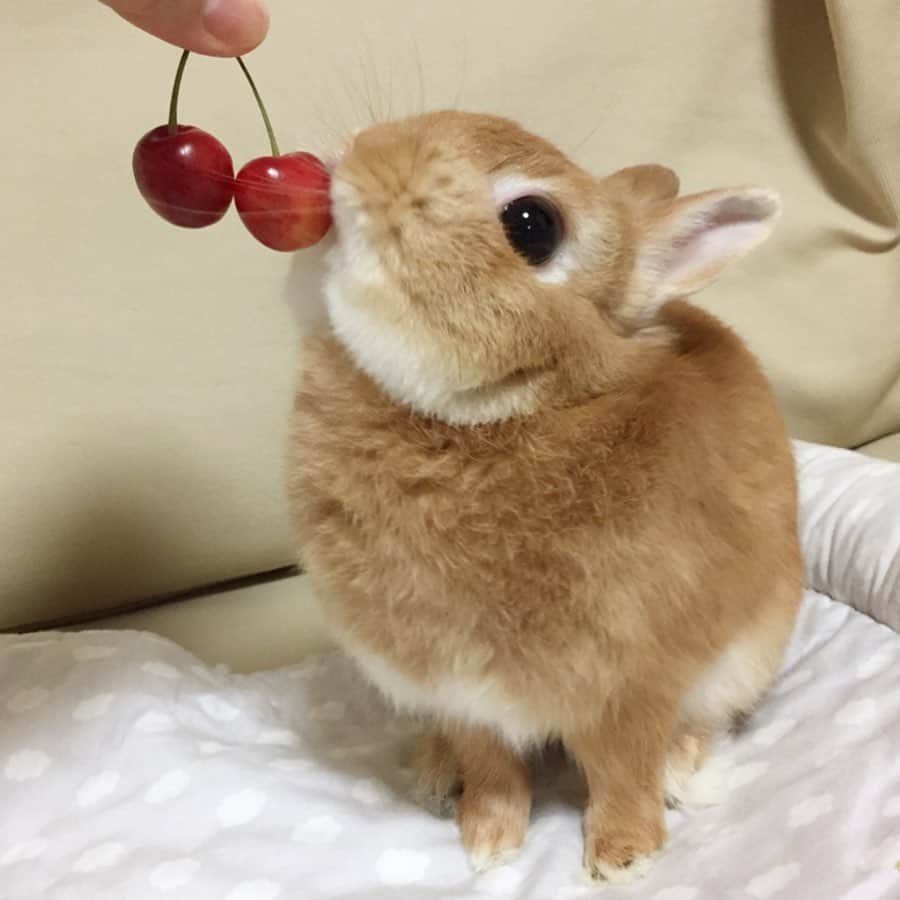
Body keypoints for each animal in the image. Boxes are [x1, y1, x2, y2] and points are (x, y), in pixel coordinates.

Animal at [286, 110, 803, 883]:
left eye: (532, 225)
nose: (362, 154)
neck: (504, 418)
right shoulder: (460, 696)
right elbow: (493, 766)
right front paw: (487, 843)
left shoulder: (630, 684)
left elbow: (621, 769)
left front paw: (623, 858)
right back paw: (436, 771)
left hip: (750, 650)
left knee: (701, 722)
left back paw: (683, 771)